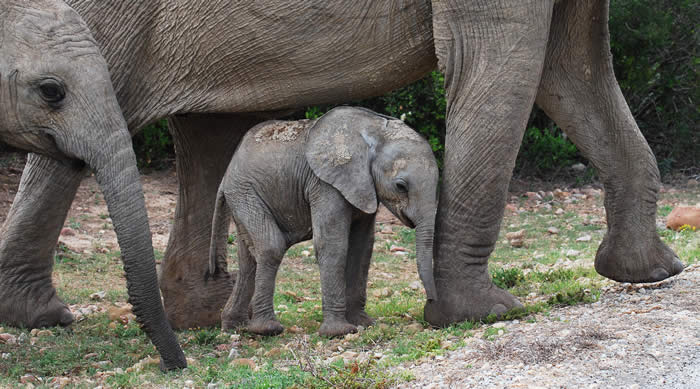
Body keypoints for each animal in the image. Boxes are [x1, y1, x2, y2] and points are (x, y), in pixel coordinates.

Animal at [208, 106, 438, 336]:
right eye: (400, 186)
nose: (430, 302)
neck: (375, 129)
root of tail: (226, 174)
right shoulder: (325, 184)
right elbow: (332, 244)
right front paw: (339, 332)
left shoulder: (363, 187)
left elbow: (362, 247)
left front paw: (363, 323)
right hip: (244, 192)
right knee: (271, 246)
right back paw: (267, 329)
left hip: (243, 195)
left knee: (248, 259)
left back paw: (235, 327)